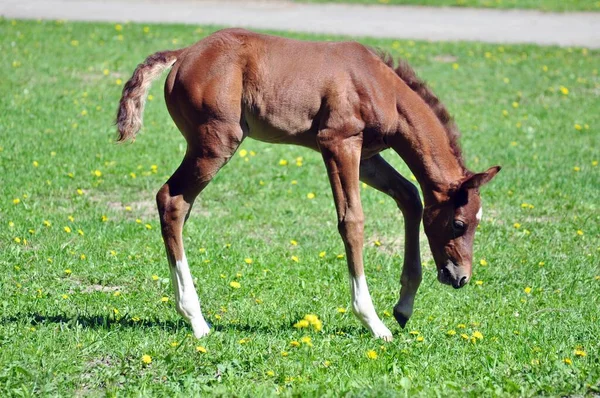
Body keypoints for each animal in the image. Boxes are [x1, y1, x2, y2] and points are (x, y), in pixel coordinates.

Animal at [115, 28, 500, 340]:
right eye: (459, 223)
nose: (461, 277)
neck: (381, 86)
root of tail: (184, 54)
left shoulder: (367, 157)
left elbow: (411, 197)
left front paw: (403, 307)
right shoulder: (338, 143)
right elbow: (352, 221)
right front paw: (373, 322)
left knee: (179, 207)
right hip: (217, 142)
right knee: (171, 200)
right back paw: (196, 320)